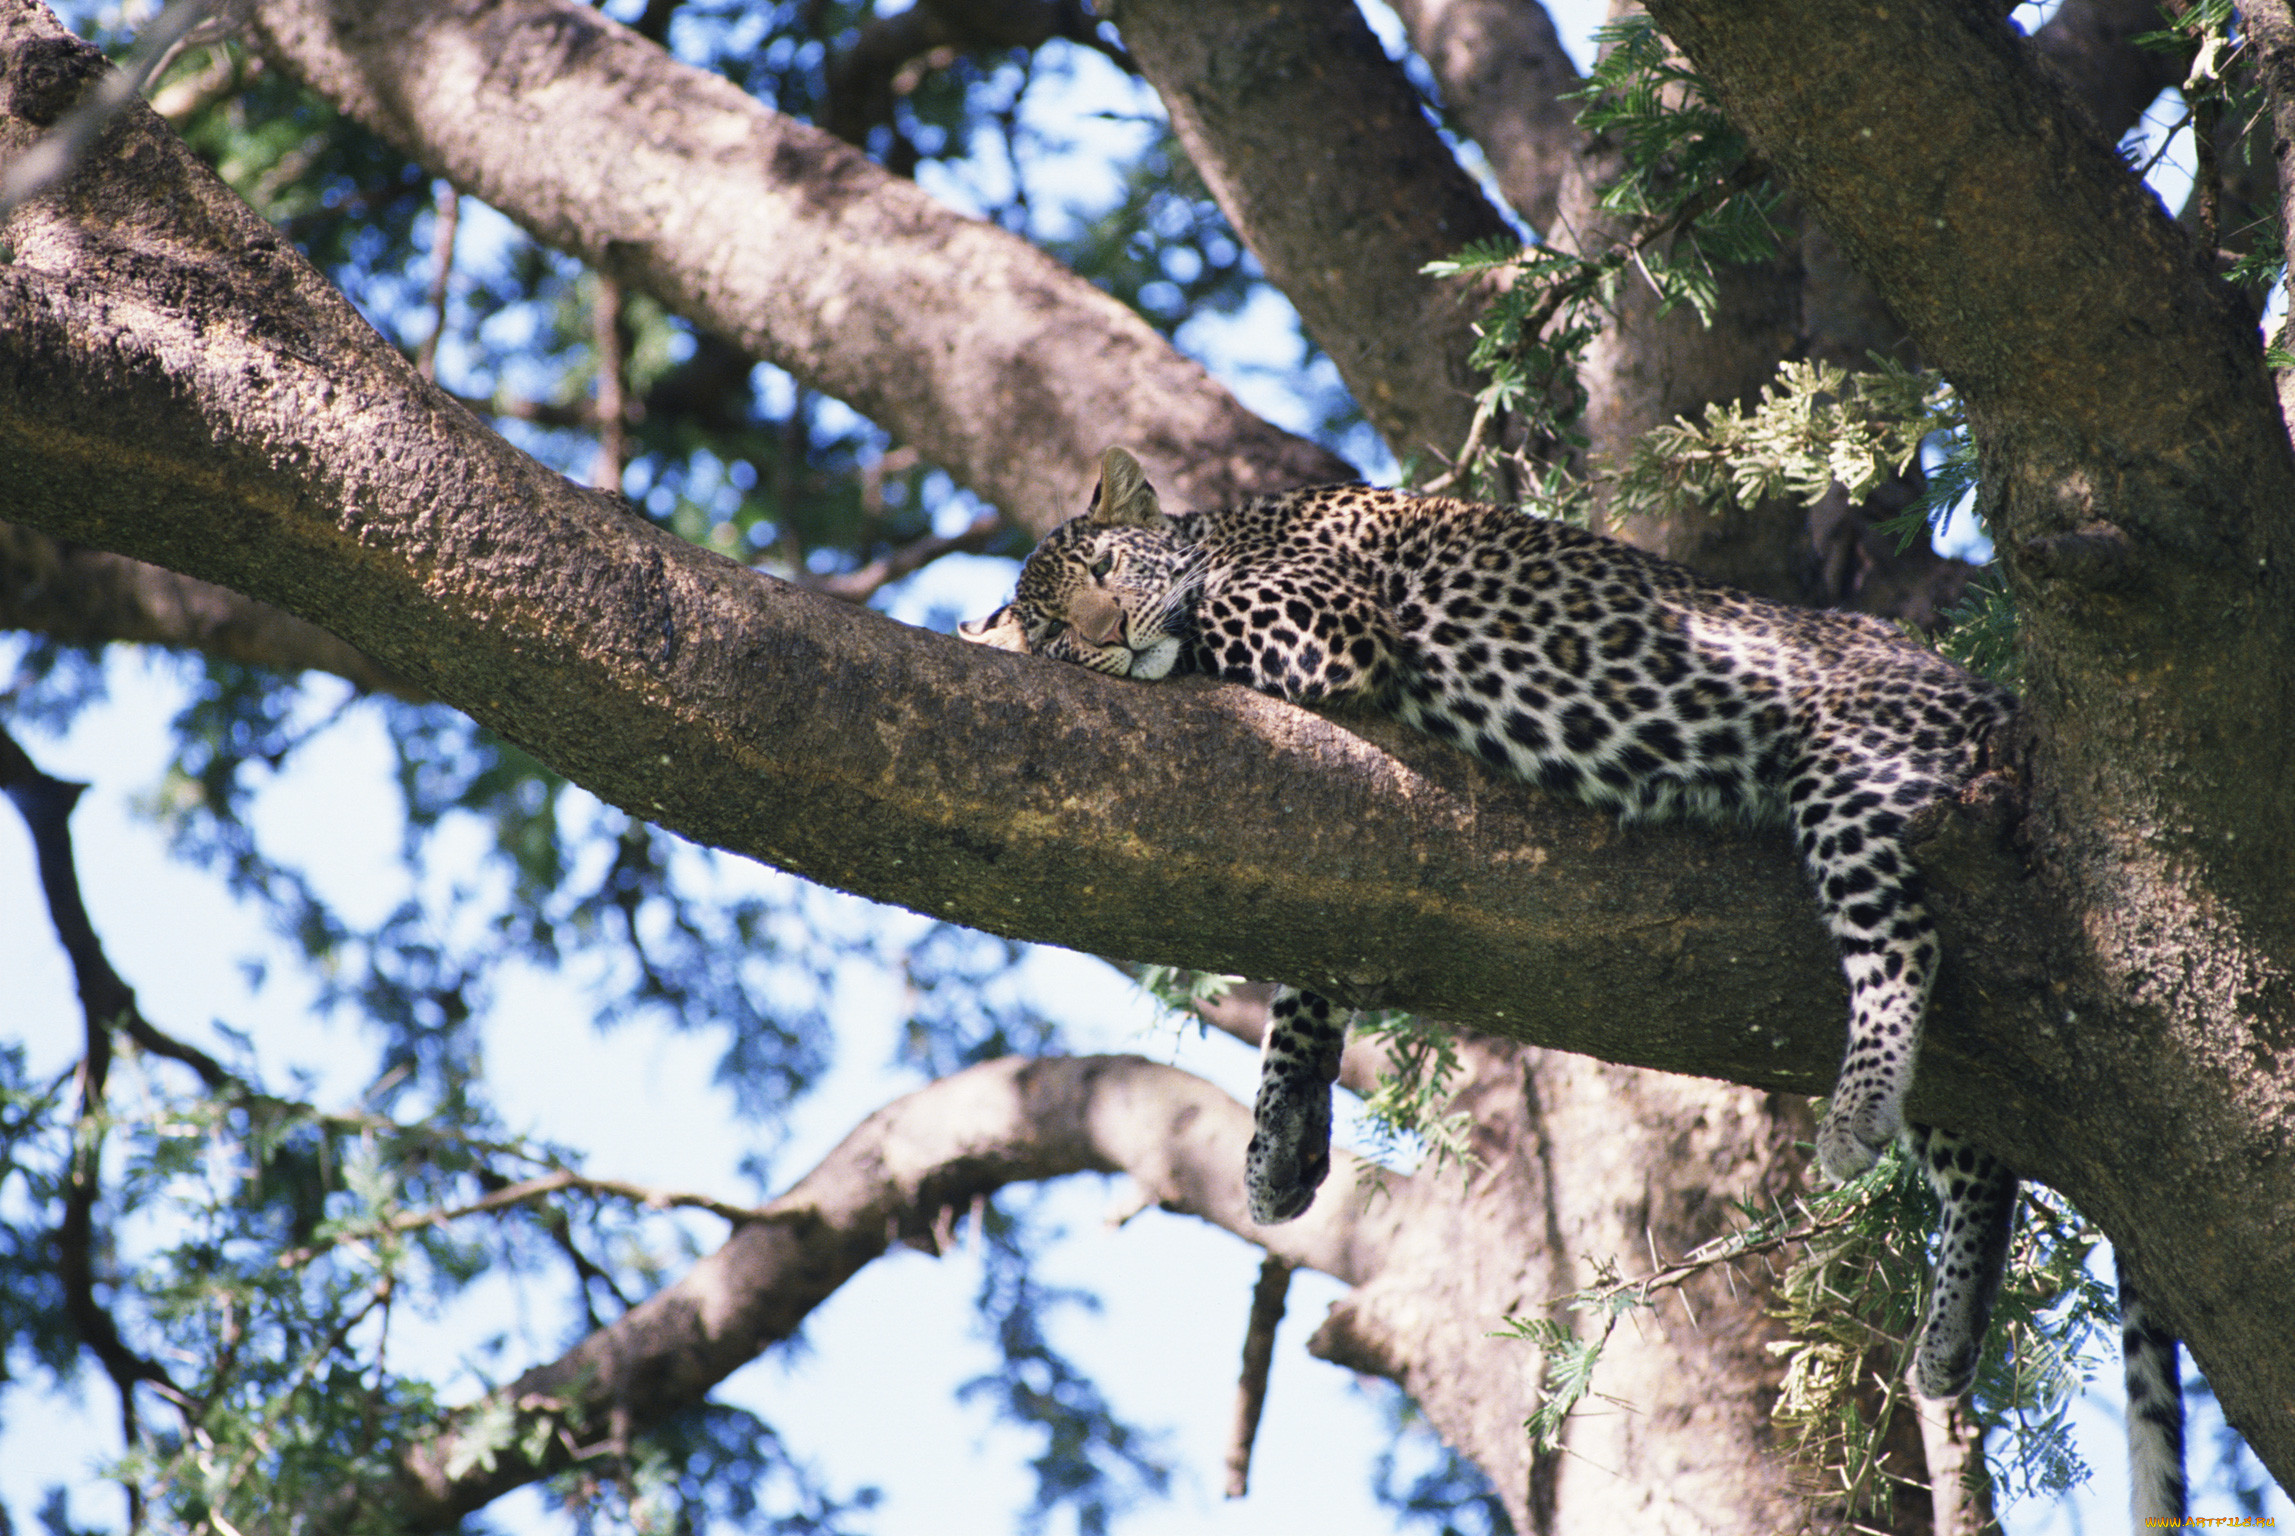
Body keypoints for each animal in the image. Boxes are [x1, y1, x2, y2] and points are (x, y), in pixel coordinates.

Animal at [963, 443, 2184, 1524]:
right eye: (1065, 628)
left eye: (1107, 572)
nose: (1106, 639)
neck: (1227, 526)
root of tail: (1986, 691)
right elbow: (1308, 986)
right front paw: (1279, 1149)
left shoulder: (1329, 623)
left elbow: (1211, 631)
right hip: (1955, 1025)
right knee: (1984, 1153)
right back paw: (1947, 1336)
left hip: (1858, 775)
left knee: (1903, 954)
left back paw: (1856, 1116)